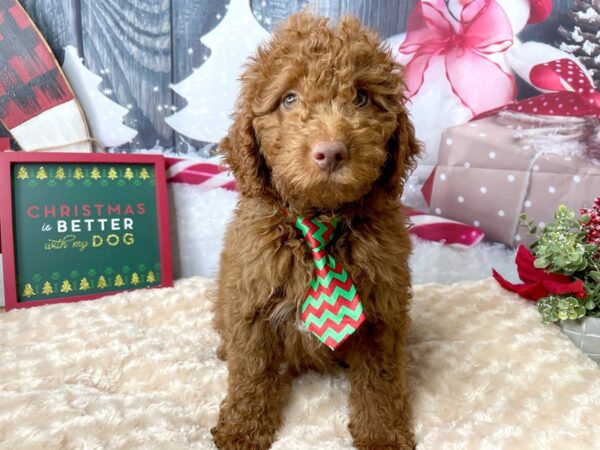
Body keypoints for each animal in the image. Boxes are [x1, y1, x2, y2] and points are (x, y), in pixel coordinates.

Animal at [213, 11, 420, 450]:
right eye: (289, 99)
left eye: (361, 98)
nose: (331, 151)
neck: (319, 221)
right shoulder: (250, 302)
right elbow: (251, 372)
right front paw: (242, 428)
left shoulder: (383, 311)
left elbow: (380, 379)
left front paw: (382, 434)